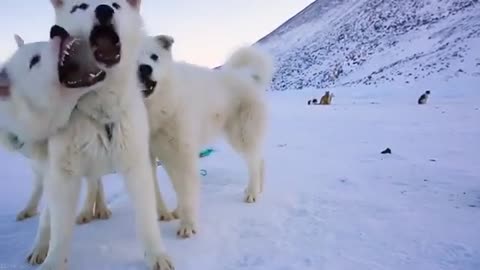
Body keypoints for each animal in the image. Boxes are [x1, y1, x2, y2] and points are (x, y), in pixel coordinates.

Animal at [25, 1, 173, 268]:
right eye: (80, 6)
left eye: (116, 4)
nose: (104, 9)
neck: (102, 111)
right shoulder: (64, 175)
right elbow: (59, 230)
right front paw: (53, 260)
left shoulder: (137, 164)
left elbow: (147, 218)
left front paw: (157, 255)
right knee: (51, 213)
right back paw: (46, 242)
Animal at [134, 36, 274, 238]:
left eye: (154, 56)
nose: (145, 69)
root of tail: (247, 76)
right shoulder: (160, 155)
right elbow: (177, 188)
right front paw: (176, 212)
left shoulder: (183, 153)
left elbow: (186, 191)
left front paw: (188, 225)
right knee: (260, 160)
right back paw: (258, 188)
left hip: (242, 135)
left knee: (254, 162)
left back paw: (252, 192)